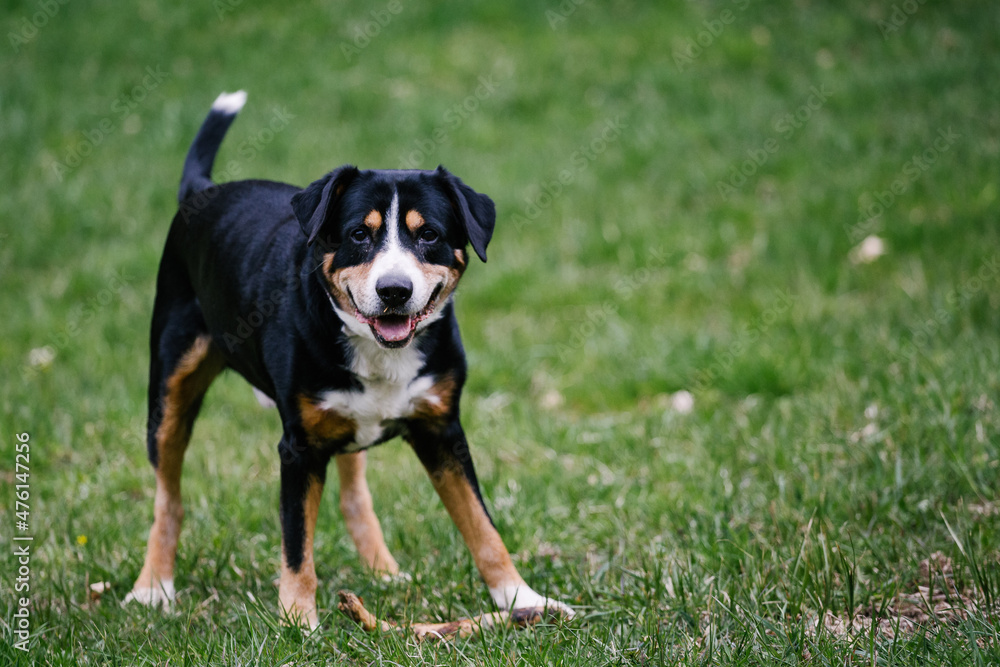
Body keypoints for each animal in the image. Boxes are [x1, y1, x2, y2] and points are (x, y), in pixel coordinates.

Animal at [129, 91, 576, 628]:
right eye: (359, 235)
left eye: (428, 235)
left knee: (352, 494)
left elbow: (482, 525)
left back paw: (384, 571)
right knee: (168, 497)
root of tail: (203, 190)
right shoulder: (299, 448)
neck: (378, 351)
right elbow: (296, 543)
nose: (394, 290)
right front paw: (298, 620)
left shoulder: (442, 429)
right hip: (170, 389)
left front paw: (521, 598)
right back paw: (153, 586)